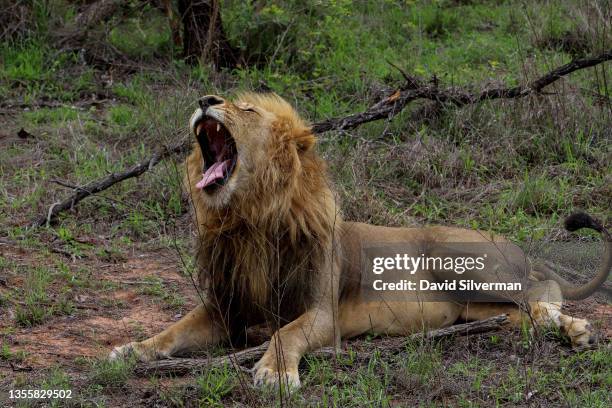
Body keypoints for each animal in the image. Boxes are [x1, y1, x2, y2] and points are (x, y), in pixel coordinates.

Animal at [111, 92, 612, 388]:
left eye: (246, 109)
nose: (205, 99)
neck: (250, 220)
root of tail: (522, 252)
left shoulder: (322, 313)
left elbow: (285, 333)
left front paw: (274, 371)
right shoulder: (225, 309)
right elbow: (172, 330)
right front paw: (131, 350)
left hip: (461, 260)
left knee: (541, 294)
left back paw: (574, 327)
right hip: (477, 308)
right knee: (521, 313)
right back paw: (565, 329)